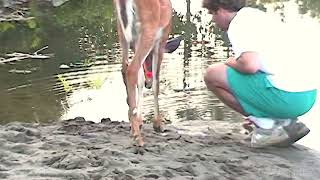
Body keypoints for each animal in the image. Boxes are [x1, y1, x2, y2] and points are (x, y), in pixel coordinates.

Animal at [113, 0, 180, 148]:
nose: (147, 84)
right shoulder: (161, 40)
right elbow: (156, 82)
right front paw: (158, 125)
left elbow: (140, 80)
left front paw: (138, 121)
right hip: (148, 30)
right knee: (131, 70)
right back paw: (138, 139)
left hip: (122, 33)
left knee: (124, 69)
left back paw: (134, 128)